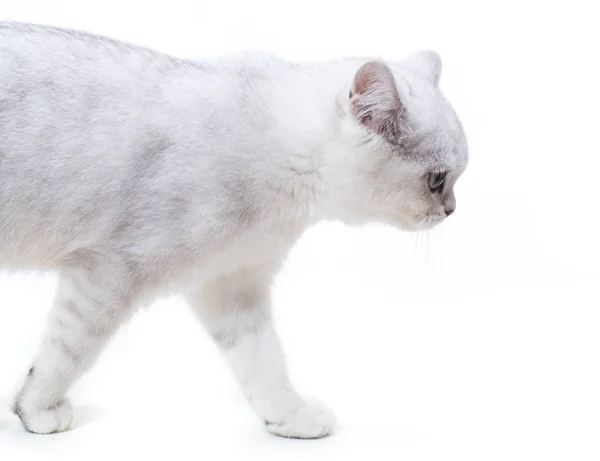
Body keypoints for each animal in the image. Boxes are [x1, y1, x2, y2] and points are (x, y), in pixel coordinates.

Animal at [0, 21, 466, 438]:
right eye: (437, 179)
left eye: (453, 179)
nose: (452, 210)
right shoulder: (110, 272)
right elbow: (70, 349)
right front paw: (36, 407)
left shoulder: (231, 283)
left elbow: (263, 360)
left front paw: (289, 416)